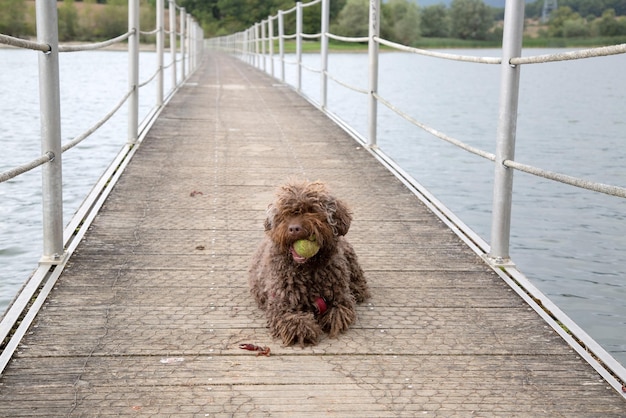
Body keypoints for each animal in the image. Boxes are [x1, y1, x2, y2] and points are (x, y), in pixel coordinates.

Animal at [246, 180, 368, 346]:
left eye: (312, 210)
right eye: (286, 214)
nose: (294, 229)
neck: (309, 270)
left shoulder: (341, 297)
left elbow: (339, 310)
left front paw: (328, 319)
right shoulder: (280, 304)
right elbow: (295, 321)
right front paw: (307, 329)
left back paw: (357, 288)